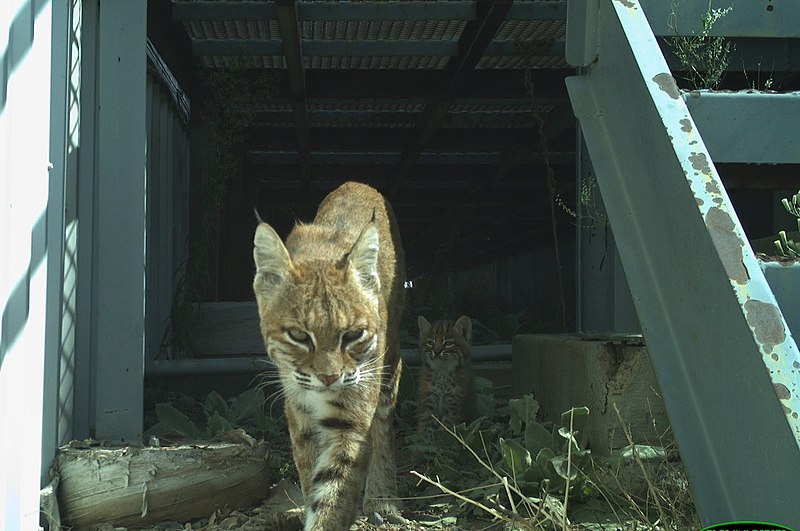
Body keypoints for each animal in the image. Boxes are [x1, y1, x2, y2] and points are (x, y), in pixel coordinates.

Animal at [253, 181, 406, 528]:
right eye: (298, 335)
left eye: (353, 336)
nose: (328, 377)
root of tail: (357, 182)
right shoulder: (299, 412)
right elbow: (311, 475)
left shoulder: (351, 418)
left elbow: (335, 492)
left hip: (389, 358)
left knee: (384, 421)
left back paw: (383, 497)